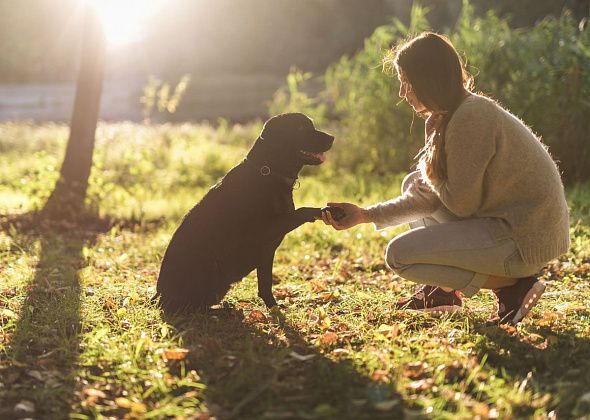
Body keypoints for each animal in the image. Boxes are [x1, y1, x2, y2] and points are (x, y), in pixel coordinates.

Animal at [155, 112, 340, 312]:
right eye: (301, 128)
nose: (332, 137)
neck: (268, 172)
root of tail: (159, 296)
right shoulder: (266, 230)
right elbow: (301, 211)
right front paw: (327, 211)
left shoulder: (267, 251)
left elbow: (265, 285)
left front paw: (273, 307)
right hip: (210, 268)